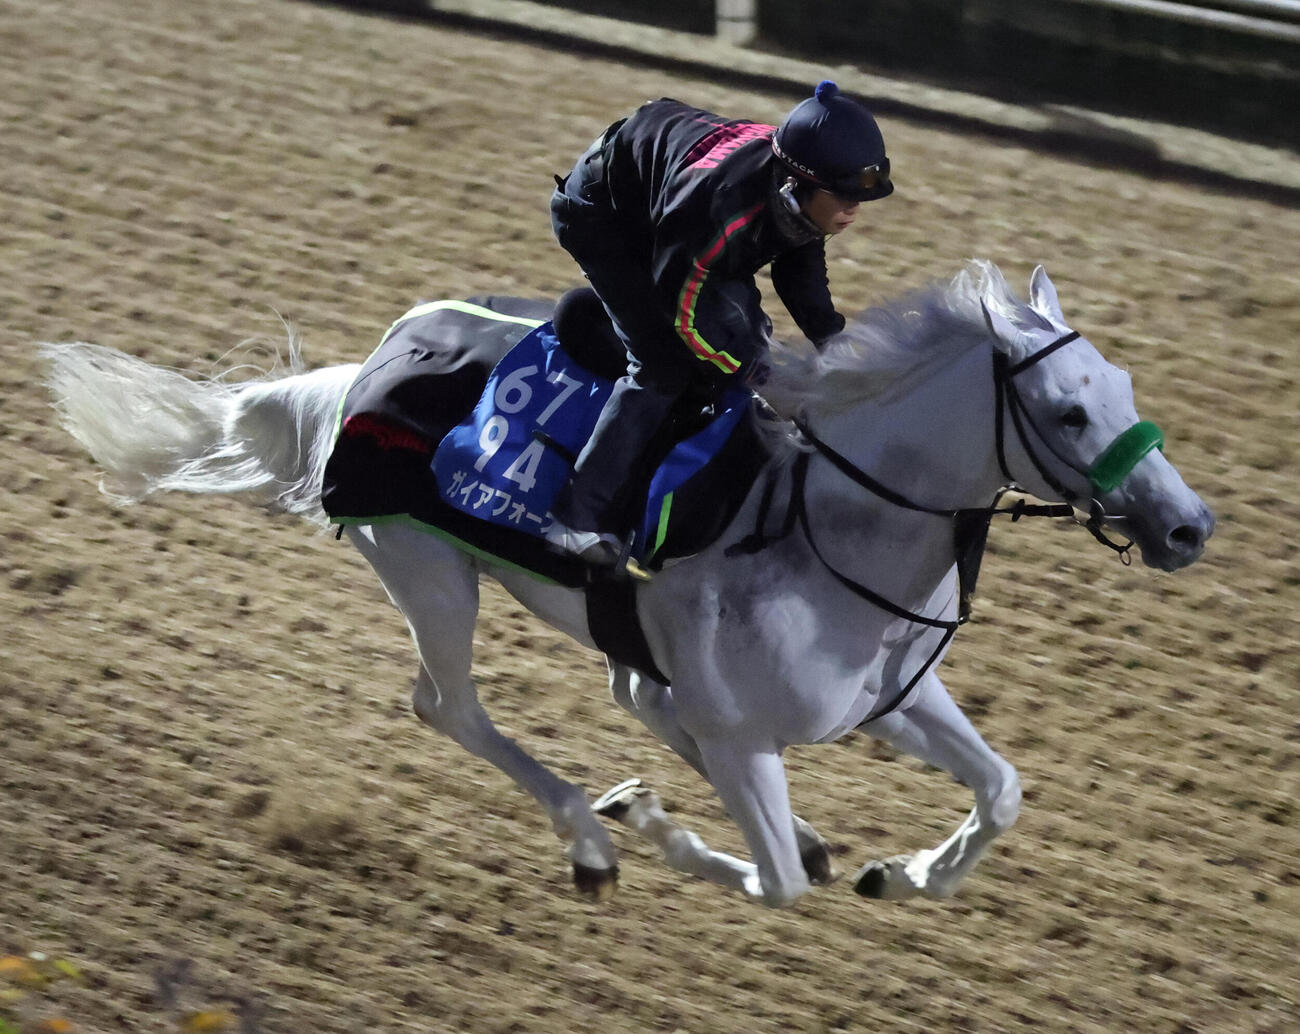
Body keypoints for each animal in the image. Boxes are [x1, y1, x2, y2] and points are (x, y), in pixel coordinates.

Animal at [44, 260, 1213, 908]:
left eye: (1122, 385)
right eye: (1067, 411)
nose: (1187, 527)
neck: (830, 524)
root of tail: (364, 370)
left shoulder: (891, 697)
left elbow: (1002, 789)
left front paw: (906, 871)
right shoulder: (747, 738)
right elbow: (777, 881)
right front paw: (649, 823)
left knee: (630, 692)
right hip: (427, 571)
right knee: (452, 706)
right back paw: (592, 841)